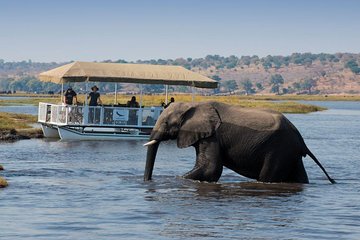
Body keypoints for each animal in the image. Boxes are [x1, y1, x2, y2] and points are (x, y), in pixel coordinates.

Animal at [143, 101, 334, 184]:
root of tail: (301, 140)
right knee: (300, 177)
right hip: (290, 153)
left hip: (279, 150)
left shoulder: (213, 135)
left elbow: (211, 168)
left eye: (166, 123)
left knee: (268, 176)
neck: (193, 105)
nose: (147, 181)